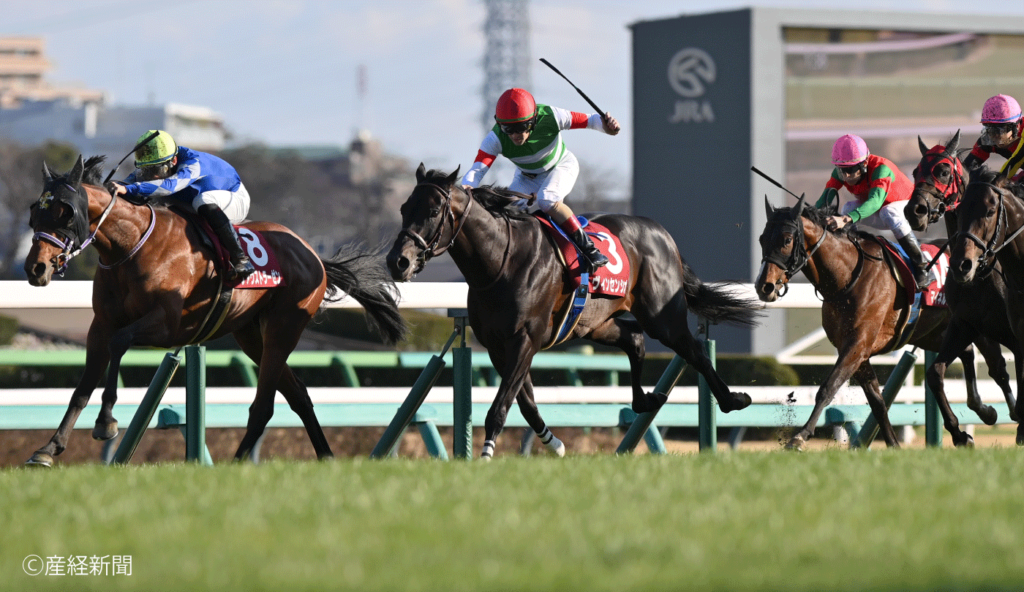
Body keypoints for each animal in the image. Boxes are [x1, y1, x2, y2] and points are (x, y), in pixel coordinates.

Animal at [23, 155, 407, 466]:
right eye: (35, 211)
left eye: (65, 212)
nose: (35, 268)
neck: (130, 247)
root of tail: (313, 254)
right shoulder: (100, 326)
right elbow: (82, 386)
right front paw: (48, 449)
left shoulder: (166, 325)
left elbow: (120, 343)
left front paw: (106, 423)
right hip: (252, 336)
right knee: (297, 394)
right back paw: (325, 455)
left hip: (284, 327)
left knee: (264, 404)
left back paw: (236, 464)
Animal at [386, 164, 762, 459]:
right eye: (403, 208)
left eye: (434, 211)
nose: (398, 261)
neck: (500, 261)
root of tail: (663, 234)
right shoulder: (497, 345)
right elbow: (525, 403)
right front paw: (555, 444)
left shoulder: (525, 339)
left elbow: (500, 407)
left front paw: (487, 454)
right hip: (594, 324)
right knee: (634, 338)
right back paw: (645, 401)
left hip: (662, 315)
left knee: (694, 349)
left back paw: (733, 399)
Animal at [755, 196, 1001, 450]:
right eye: (762, 239)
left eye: (786, 240)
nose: (764, 286)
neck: (847, 277)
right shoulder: (856, 351)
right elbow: (878, 402)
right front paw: (893, 444)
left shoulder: (858, 345)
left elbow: (828, 388)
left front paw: (800, 436)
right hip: (931, 334)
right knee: (963, 355)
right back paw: (969, 425)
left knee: (991, 362)